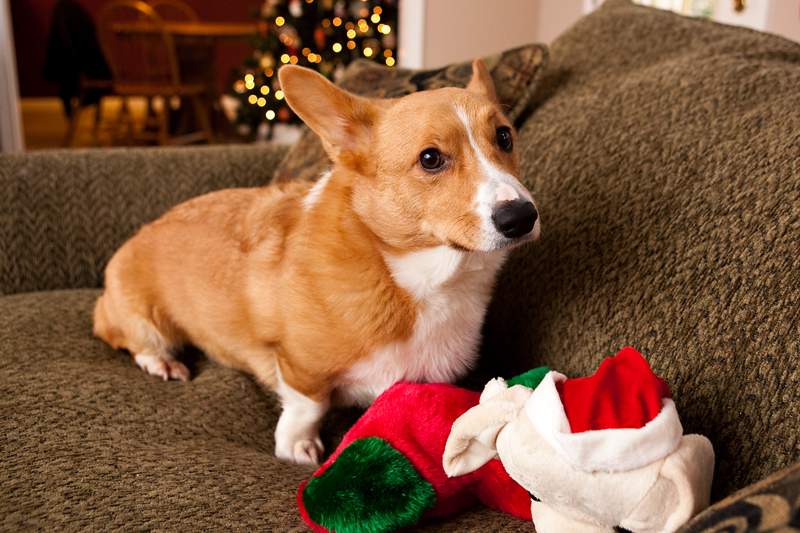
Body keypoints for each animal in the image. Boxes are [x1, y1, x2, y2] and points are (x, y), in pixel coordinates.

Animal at [97, 59, 540, 466]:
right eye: (430, 158)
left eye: (504, 136)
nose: (521, 217)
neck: (413, 277)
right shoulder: (297, 366)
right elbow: (308, 406)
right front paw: (297, 446)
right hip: (145, 321)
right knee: (130, 339)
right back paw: (161, 361)